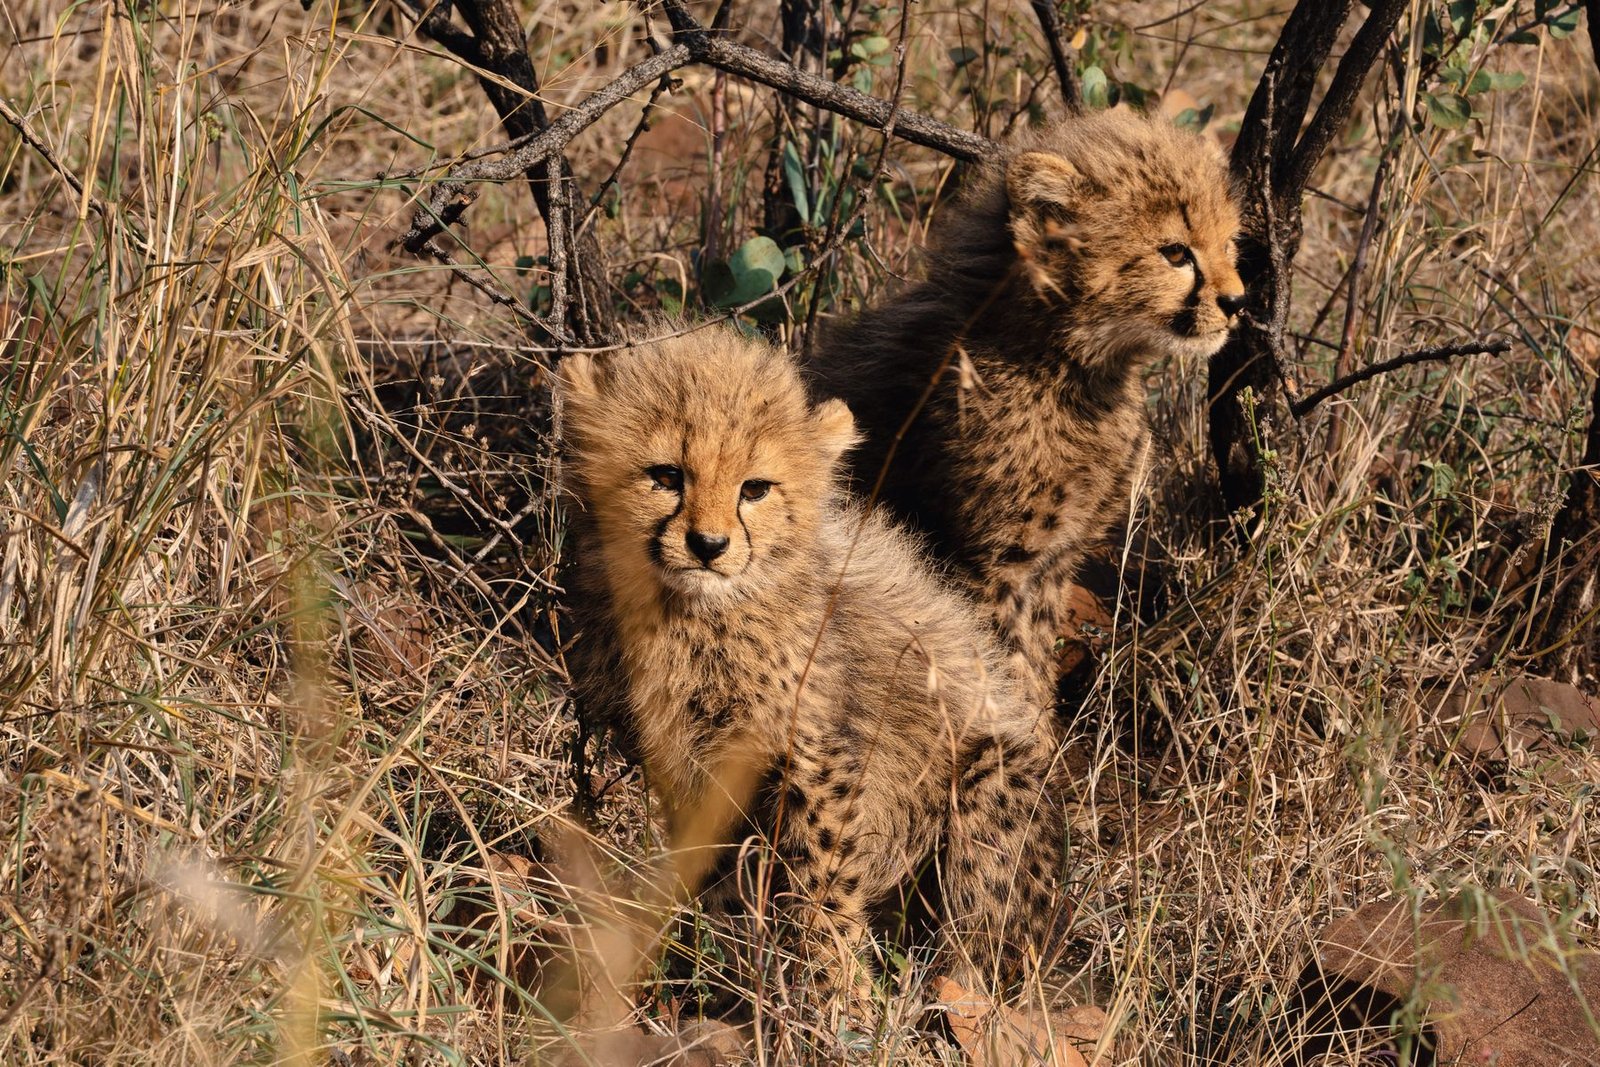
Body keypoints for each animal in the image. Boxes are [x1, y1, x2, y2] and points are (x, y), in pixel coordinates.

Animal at [556, 326, 1067, 1016]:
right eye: (665, 476)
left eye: (755, 489)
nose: (708, 546)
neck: (696, 616)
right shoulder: (686, 764)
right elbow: (720, 879)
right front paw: (723, 975)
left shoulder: (815, 757)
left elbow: (821, 888)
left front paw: (838, 1002)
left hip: (992, 778)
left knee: (980, 938)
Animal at [807, 107, 1246, 712]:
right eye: (1176, 253)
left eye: (1229, 244)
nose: (1238, 302)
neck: (1072, 364)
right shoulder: (994, 567)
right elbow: (1004, 667)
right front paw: (1027, 732)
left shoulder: (1052, 563)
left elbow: (1033, 660)